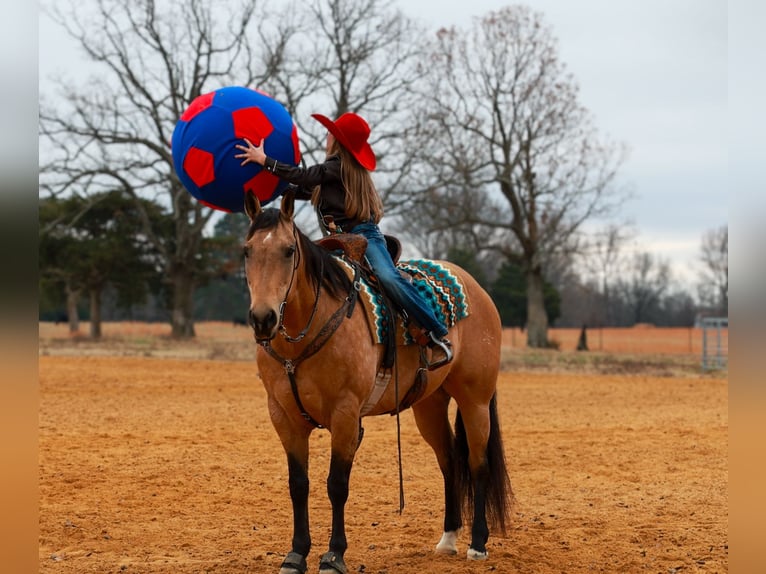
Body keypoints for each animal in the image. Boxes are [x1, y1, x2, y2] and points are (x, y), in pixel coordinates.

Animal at [242, 190, 512, 574]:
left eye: (289, 250)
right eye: (247, 251)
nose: (263, 318)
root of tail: (476, 289)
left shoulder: (345, 415)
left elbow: (336, 485)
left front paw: (334, 555)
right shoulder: (283, 417)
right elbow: (299, 485)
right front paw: (296, 554)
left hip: (475, 401)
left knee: (477, 463)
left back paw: (477, 544)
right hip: (429, 404)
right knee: (449, 462)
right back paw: (448, 538)